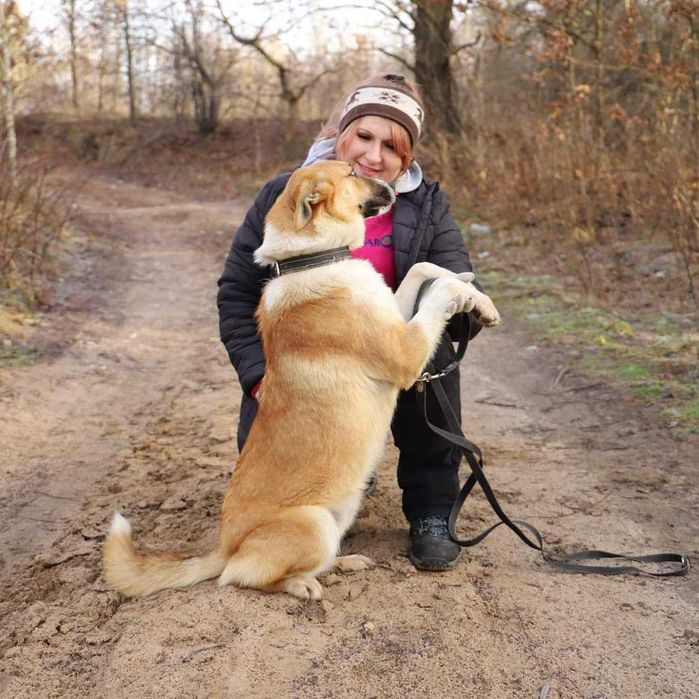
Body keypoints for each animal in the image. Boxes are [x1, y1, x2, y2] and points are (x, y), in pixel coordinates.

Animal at [101, 160, 500, 600]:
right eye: (352, 172)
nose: (395, 183)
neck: (313, 259)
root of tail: (224, 548)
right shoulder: (405, 351)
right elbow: (435, 292)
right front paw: (461, 293)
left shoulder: (395, 313)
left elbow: (423, 269)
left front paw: (477, 297)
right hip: (314, 523)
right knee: (242, 576)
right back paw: (301, 585)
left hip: (340, 513)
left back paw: (343, 563)